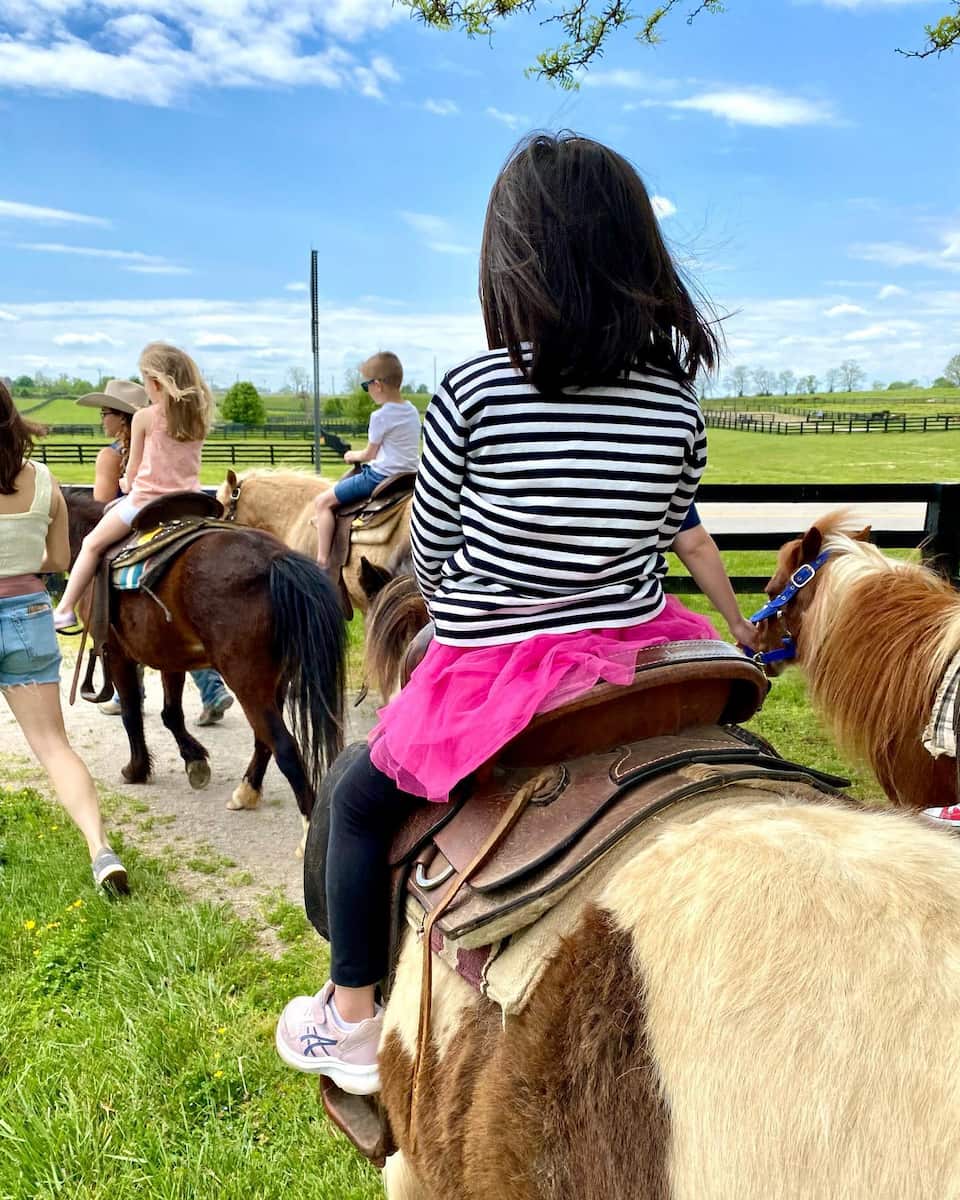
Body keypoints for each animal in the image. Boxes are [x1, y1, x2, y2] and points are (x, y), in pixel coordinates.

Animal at [63, 489, 345, 827]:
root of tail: (275, 559)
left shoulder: (116, 654)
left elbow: (131, 713)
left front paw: (136, 769)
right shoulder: (170, 657)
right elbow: (171, 714)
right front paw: (194, 760)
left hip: (247, 682)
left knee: (285, 747)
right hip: (275, 681)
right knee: (263, 740)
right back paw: (246, 792)